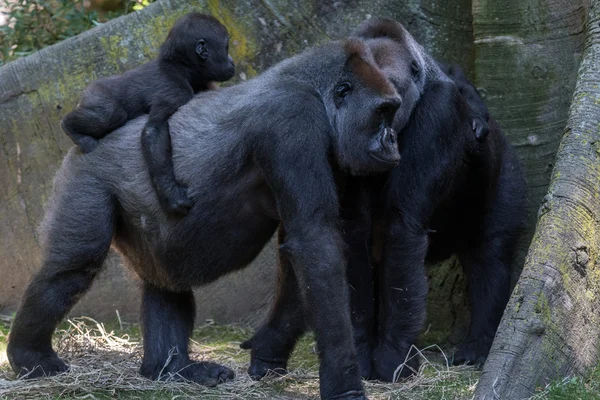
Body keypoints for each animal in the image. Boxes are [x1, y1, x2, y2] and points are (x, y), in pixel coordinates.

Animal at [5, 37, 408, 400]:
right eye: (383, 112)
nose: (392, 142)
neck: (315, 91)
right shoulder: (292, 120)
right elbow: (316, 243)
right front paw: (344, 383)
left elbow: (307, 250)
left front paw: (269, 350)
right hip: (85, 173)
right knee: (73, 267)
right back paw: (29, 357)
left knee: (164, 280)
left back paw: (171, 370)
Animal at [61, 12, 234, 214]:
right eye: (226, 48)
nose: (232, 62)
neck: (182, 67)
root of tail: (86, 91)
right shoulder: (175, 91)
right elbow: (154, 130)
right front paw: (171, 194)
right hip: (97, 96)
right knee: (110, 114)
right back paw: (71, 128)